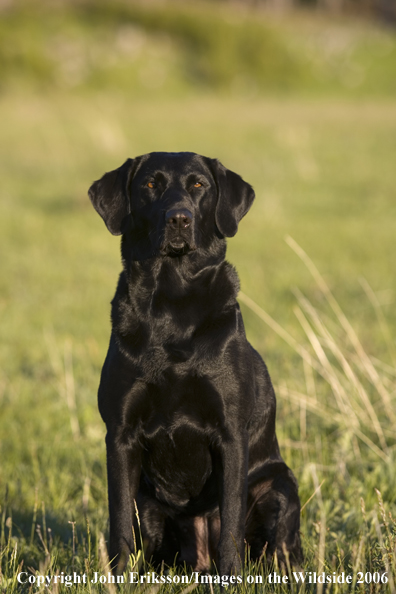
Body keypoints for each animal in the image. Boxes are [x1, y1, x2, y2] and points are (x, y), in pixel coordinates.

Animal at [88, 151, 302, 572]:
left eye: (199, 185)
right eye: (150, 184)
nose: (179, 219)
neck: (172, 299)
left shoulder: (231, 434)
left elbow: (232, 523)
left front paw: (233, 577)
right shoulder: (119, 435)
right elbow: (119, 521)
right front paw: (118, 577)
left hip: (279, 486)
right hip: (148, 501)